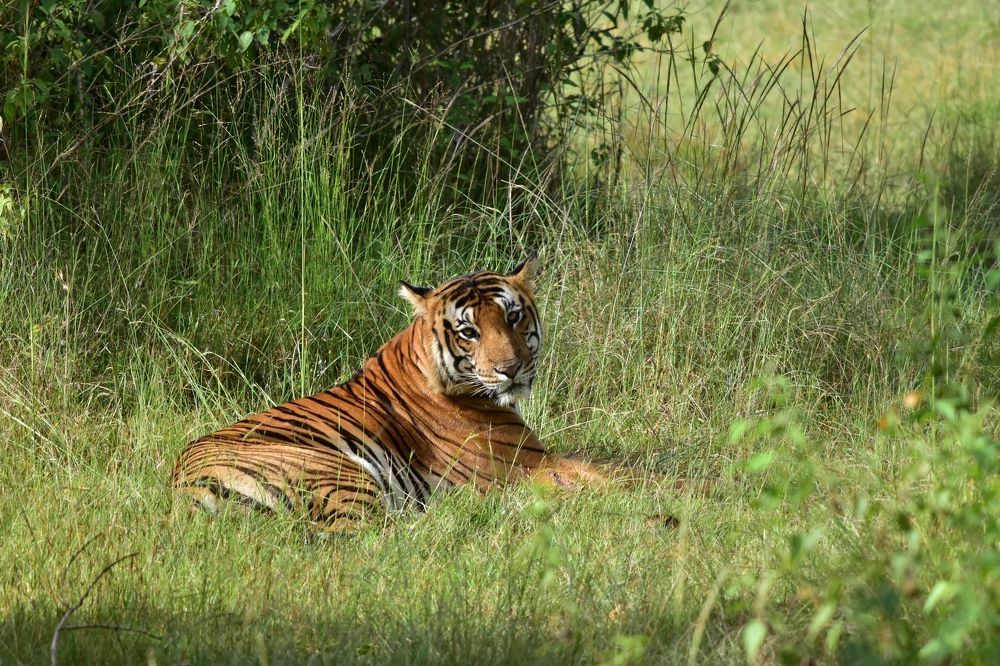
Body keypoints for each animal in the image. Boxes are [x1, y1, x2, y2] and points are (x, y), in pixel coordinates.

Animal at [171, 255, 637, 532]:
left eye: (513, 317)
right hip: (338, 472)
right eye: (469, 332)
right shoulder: (529, 465)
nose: (511, 369)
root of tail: (185, 490)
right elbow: (620, 474)